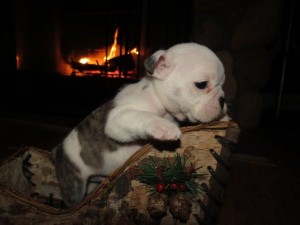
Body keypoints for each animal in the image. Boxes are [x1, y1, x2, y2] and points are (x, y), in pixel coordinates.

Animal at [51, 41, 227, 207]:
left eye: (222, 84)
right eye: (201, 84)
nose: (222, 99)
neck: (157, 97)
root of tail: (56, 152)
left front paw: (224, 118)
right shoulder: (118, 119)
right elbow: (143, 116)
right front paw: (164, 127)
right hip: (75, 185)